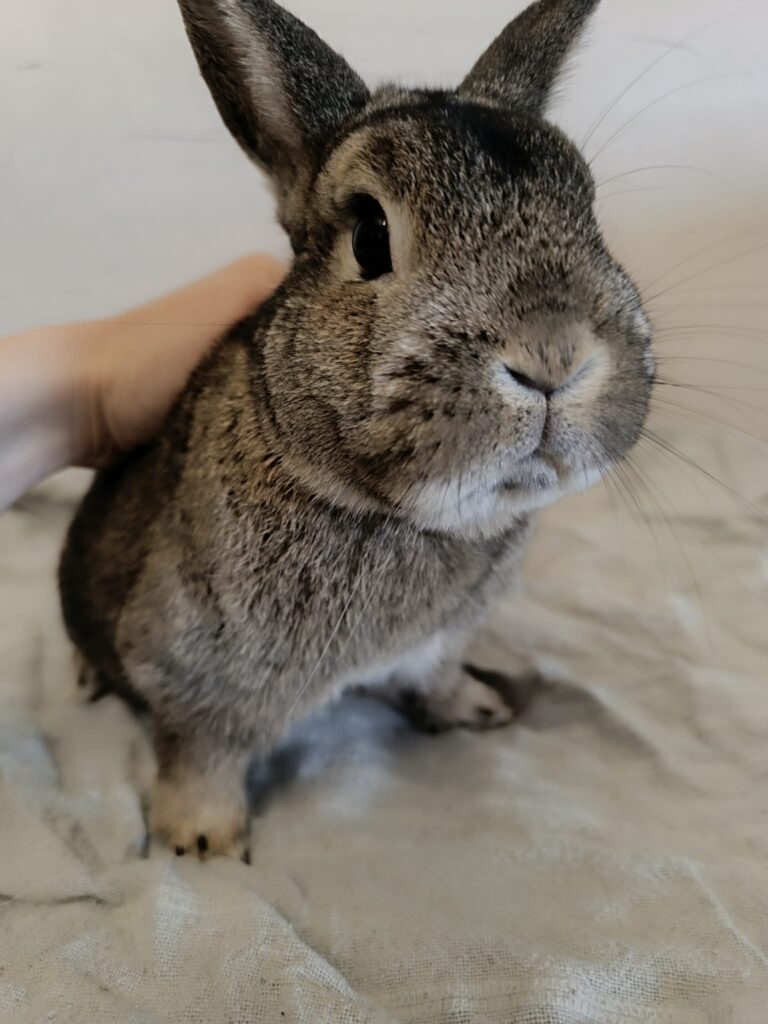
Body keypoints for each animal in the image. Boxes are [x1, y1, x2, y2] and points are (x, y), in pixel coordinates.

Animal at [59, 0, 654, 859]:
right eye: (370, 235)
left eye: (590, 213)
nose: (553, 354)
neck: (396, 514)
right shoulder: (196, 669)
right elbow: (200, 754)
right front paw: (201, 841)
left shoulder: (438, 642)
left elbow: (435, 677)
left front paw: (476, 708)